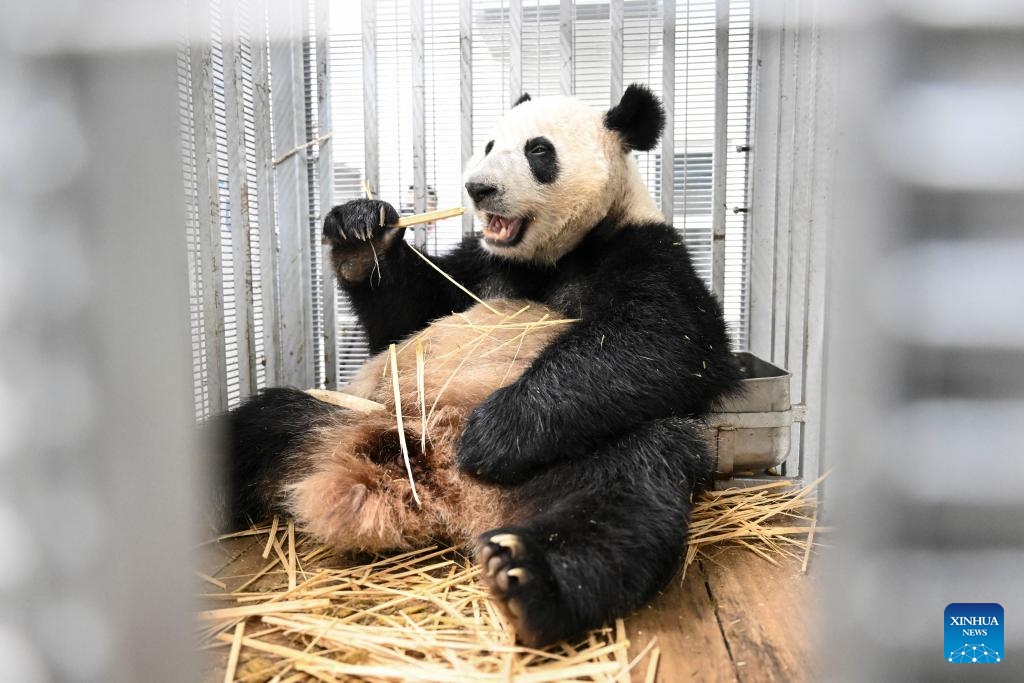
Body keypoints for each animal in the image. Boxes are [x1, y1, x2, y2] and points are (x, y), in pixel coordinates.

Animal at [224, 85, 741, 647]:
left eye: (539, 151)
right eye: (490, 144)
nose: (479, 188)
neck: (551, 257)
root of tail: (453, 498)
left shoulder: (644, 249)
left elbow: (662, 341)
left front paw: (492, 434)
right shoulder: (478, 265)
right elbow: (406, 314)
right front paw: (360, 231)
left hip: (585, 458)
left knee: (624, 498)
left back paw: (528, 581)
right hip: (340, 417)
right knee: (252, 429)